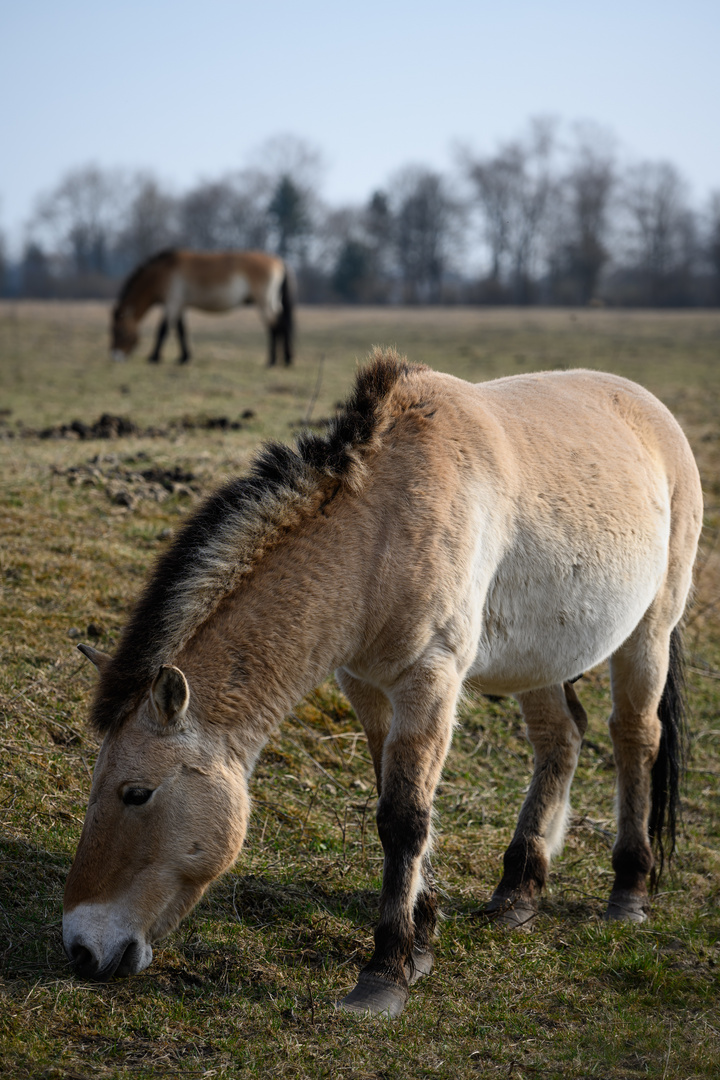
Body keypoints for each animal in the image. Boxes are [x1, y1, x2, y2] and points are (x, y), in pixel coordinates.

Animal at [63, 349, 703, 1015]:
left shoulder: (429, 681)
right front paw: (421, 935)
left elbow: (405, 817)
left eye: (137, 793)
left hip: (650, 630)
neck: (381, 533)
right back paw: (518, 891)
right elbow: (393, 801)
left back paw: (628, 891)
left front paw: (386, 971)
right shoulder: (366, 686)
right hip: (540, 659)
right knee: (562, 740)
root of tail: (649, 409)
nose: (81, 949)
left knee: (635, 737)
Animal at [109, 250, 293, 369]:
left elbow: (163, 330)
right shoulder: (180, 305)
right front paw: (183, 358)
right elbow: (181, 330)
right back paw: (285, 360)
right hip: (272, 301)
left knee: (274, 327)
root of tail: (278, 261)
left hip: (263, 302)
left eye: (120, 332)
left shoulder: (172, 303)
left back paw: (272, 361)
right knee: (282, 325)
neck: (164, 272)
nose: (115, 356)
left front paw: (154, 357)